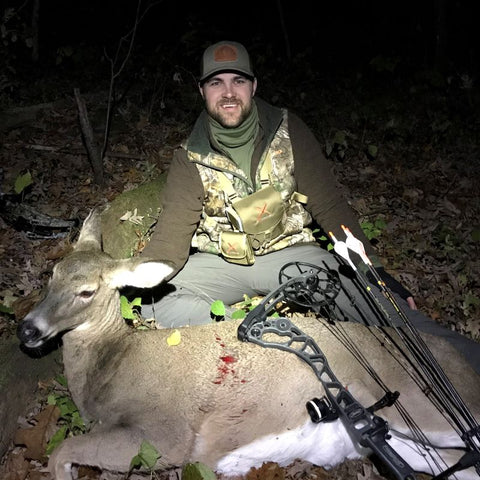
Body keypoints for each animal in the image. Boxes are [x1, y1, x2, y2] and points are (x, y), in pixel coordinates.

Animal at [16, 211, 478, 480]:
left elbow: (63, 452)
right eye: (53, 273)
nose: (27, 330)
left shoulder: (165, 434)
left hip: (422, 405)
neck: (112, 366)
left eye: (87, 292)